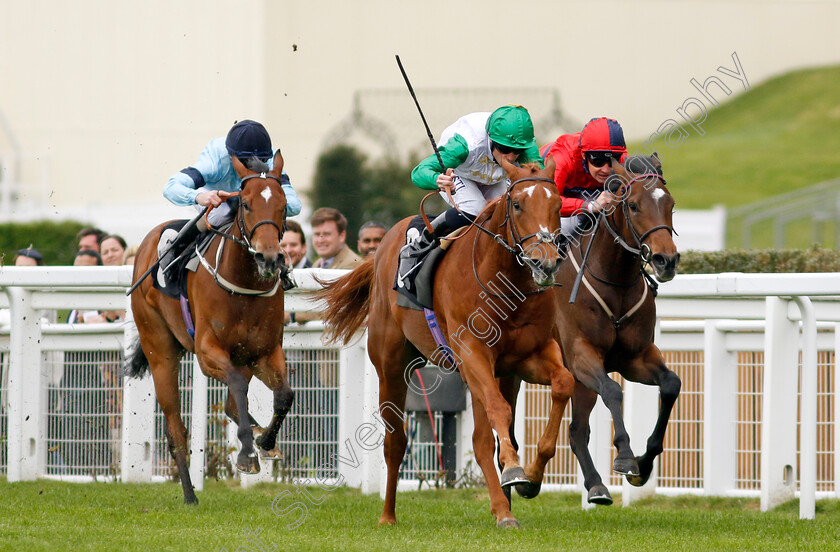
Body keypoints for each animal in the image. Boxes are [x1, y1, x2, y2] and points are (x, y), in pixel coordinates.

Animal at [126, 151, 294, 504]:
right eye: (245, 203)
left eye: (284, 205)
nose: (269, 257)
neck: (244, 285)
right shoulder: (207, 352)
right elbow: (238, 389)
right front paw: (246, 453)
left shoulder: (264, 351)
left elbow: (284, 394)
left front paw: (265, 442)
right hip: (160, 350)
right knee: (176, 428)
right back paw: (190, 494)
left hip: (242, 358)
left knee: (233, 402)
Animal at [312, 158, 576, 528]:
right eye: (518, 205)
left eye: (558, 205)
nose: (545, 263)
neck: (502, 283)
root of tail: (381, 247)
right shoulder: (473, 355)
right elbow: (498, 413)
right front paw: (514, 472)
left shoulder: (530, 356)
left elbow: (563, 384)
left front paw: (532, 477)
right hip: (391, 366)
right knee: (397, 441)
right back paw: (388, 515)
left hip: (499, 375)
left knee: (485, 437)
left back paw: (504, 505)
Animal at [552, 154, 684, 504]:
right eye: (634, 205)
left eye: (670, 204)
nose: (666, 260)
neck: (615, 280)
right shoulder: (581, 353)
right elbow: (613, 391)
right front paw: (625, 454)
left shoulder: (635, 358)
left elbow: (671, 384)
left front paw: (644, 464)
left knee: (577, 431)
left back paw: (595, 485)